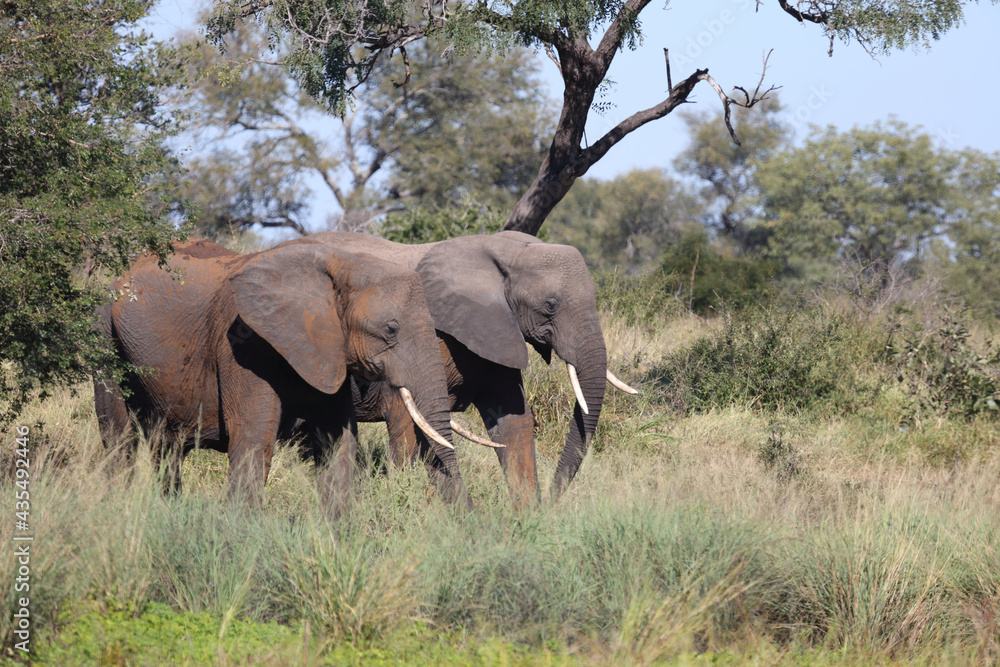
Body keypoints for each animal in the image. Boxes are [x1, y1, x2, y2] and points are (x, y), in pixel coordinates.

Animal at [92, 237, 470, 516]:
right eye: (391, 329)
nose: (465, 521)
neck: (339, 264)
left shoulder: (327, 350)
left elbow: (338, 440)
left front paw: (340, 536)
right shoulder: (242, 343)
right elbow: (254, 438)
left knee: (166, 450)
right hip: (103, 332)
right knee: (119, 439)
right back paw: (115, 510)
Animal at [302, 232, 640, 508]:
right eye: (551, 305)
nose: (553, 499)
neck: (505, 250)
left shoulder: (495, 331)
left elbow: (514, 420)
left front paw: (528, 520)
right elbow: (407, 428)